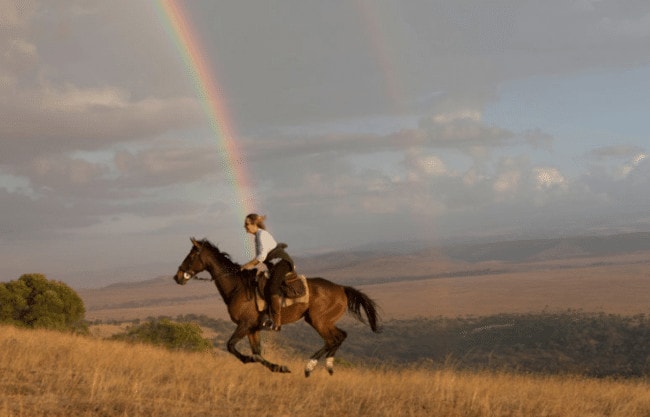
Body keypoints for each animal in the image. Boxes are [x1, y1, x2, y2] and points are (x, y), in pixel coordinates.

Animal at [172, 236, 380, 376]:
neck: (237, 286)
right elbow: (257, 353)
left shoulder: (244, 325)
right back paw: (327, 366)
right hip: (319, 320)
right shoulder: (253, 328)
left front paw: (250, 360)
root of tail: (342, 289)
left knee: (332, 339)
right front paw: (279, 367)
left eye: (191, 255)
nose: (177, 277)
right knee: (340, 336)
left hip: (318, 320)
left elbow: (232, 346)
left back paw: (309, 367)